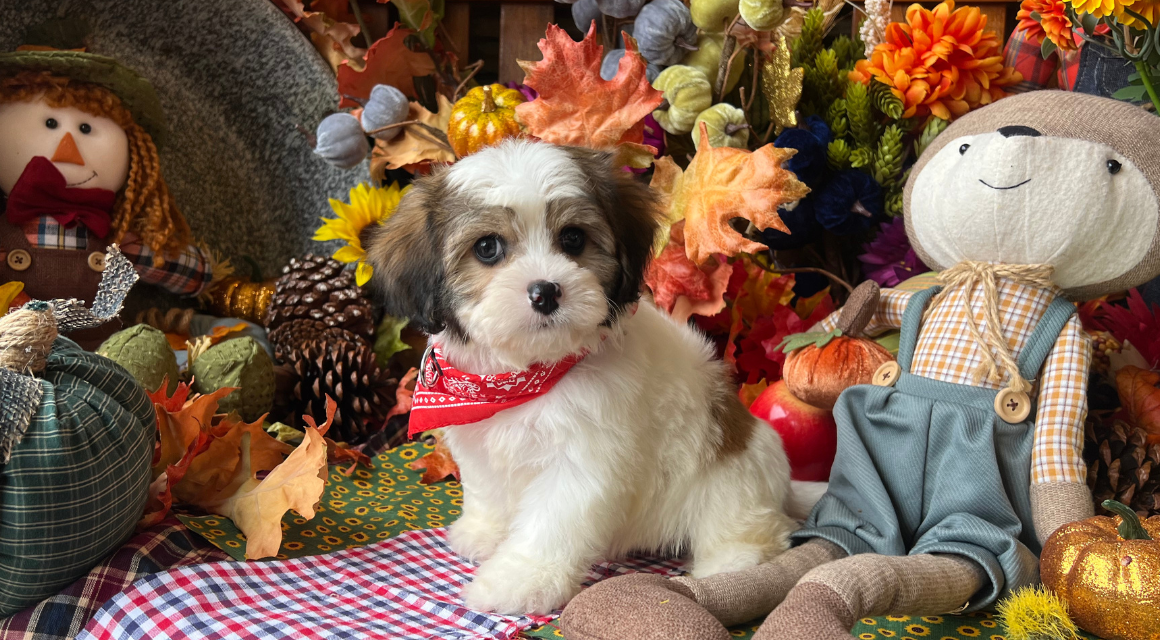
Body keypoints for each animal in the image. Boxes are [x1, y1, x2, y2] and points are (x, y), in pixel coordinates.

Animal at [368, 141, 798, 616]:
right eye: (487, 247)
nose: (546, 291)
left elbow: (550, 522)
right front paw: (485, 532)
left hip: (730, 482)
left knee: (749, 529)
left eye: (573, 238)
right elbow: (487, 488)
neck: (524, 377)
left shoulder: (583, 460)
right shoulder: (476, 435)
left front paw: (519, 580)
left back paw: (730, 564)